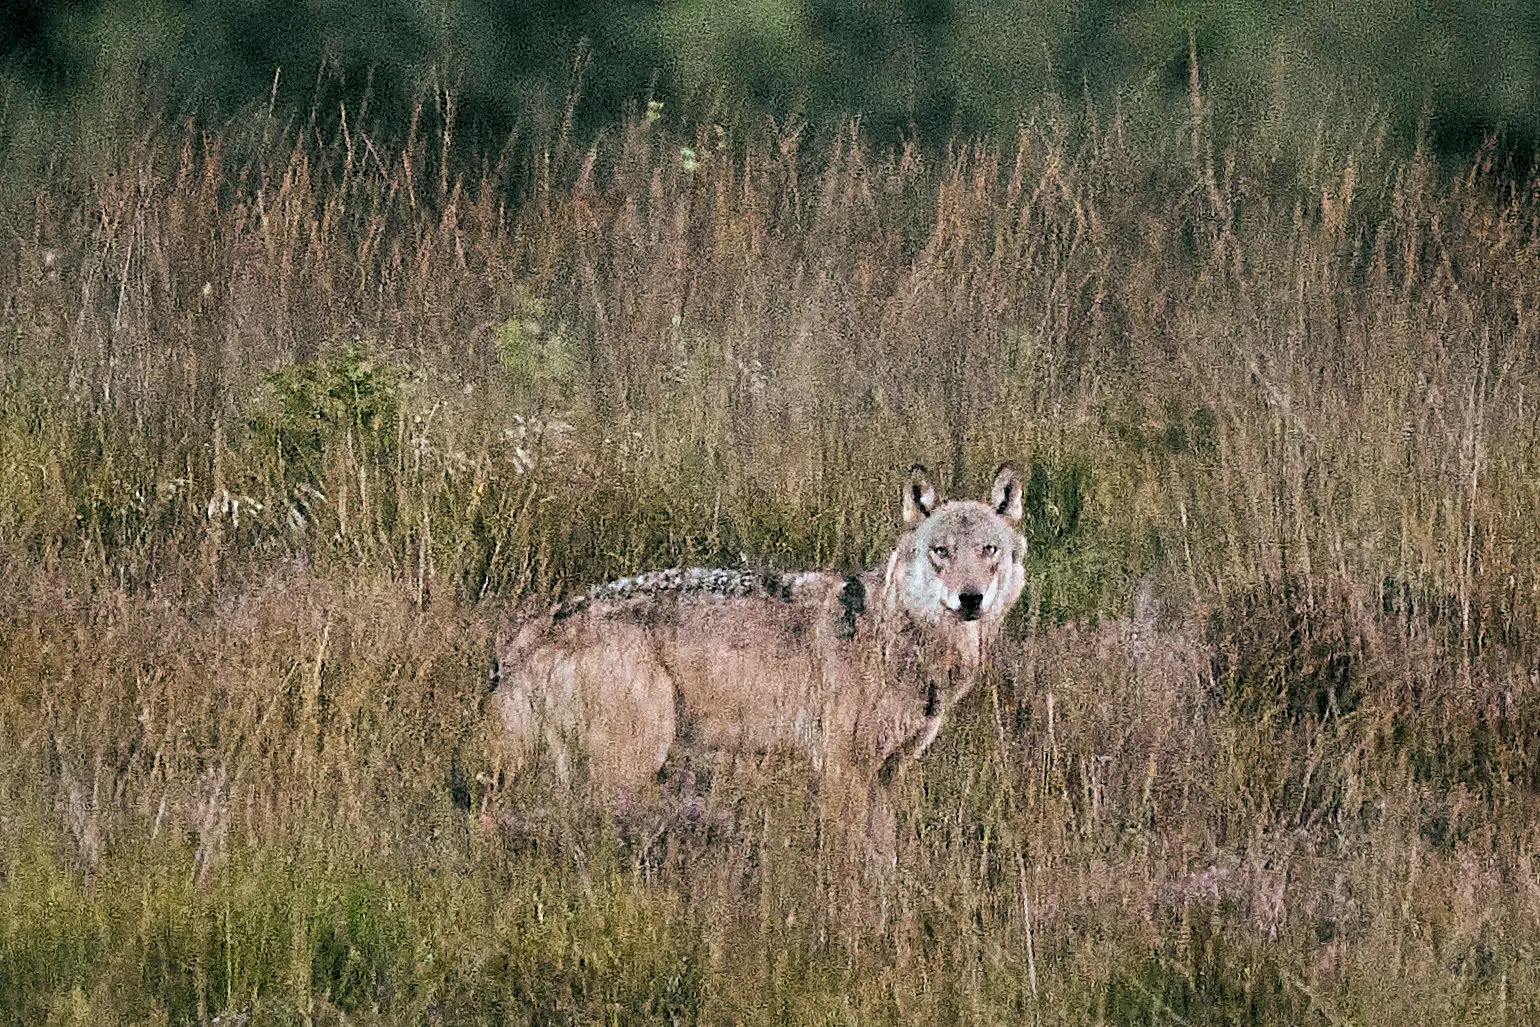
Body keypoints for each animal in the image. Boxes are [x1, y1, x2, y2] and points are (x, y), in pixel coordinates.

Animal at [489, 464, 1027, 805]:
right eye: (940, 551)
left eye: (988, 550)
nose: (971, 599)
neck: (899, 635)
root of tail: (541, 623)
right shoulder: (843, 772)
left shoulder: (888, 775)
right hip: (633, 763)